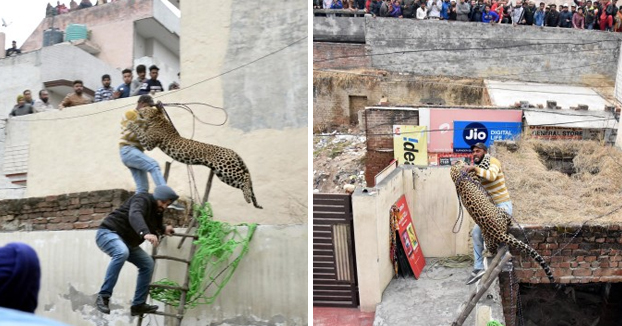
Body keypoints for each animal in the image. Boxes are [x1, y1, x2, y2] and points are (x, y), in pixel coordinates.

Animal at [127, 104, 264, 209]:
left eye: (145, 109)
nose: (138, 109)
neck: (157, 119)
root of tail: (232, 151)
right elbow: (141, 129)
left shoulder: (148, 143)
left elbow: (139, 130)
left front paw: (130, 123)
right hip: (223, 175)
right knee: (243, 182)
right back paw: (250, 199)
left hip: (226, 168)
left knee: (246, 177)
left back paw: (247, 198)